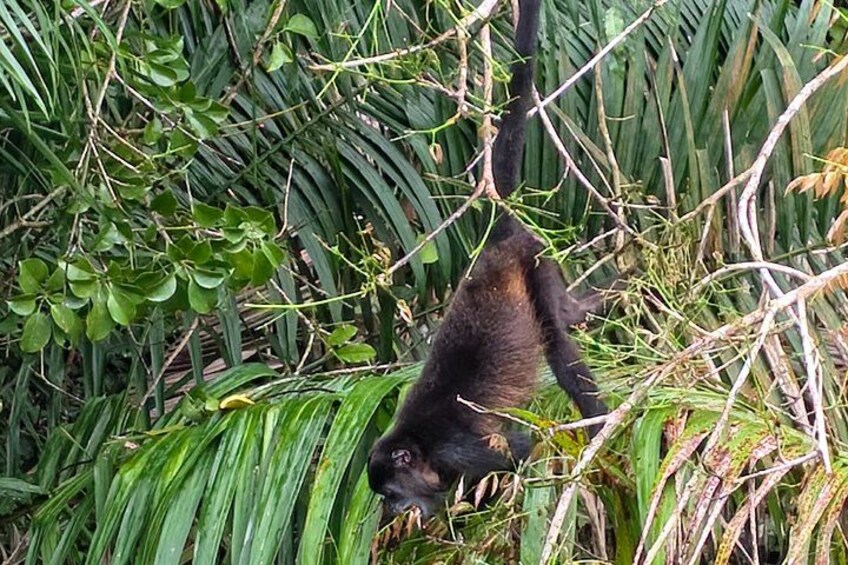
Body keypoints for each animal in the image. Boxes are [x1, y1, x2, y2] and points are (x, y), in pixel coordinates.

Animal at [367, 0, 611, 519]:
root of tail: (498, 244)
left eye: (392, 493)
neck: (418, 447)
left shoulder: (456, 449)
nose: (396, 513)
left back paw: (600, 424)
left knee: (558, 346)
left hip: (533, 262)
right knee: (568, 316)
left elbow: (520, 449)